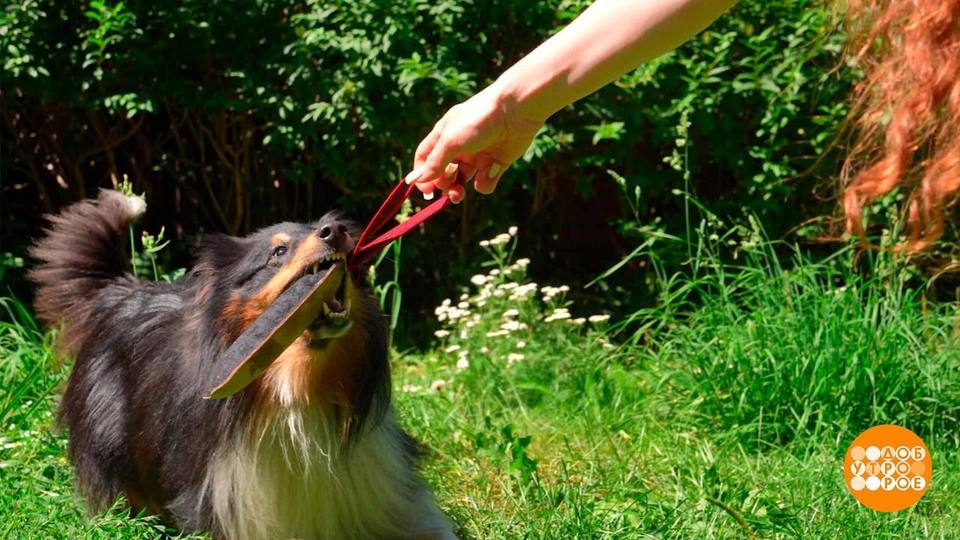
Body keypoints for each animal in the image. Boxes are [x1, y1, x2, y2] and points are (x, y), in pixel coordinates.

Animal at [26, 190, 454, 540]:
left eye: (330, 229)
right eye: (277, 253)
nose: (335, 232)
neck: (299, 392)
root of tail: (121, 291)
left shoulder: (388, 495)